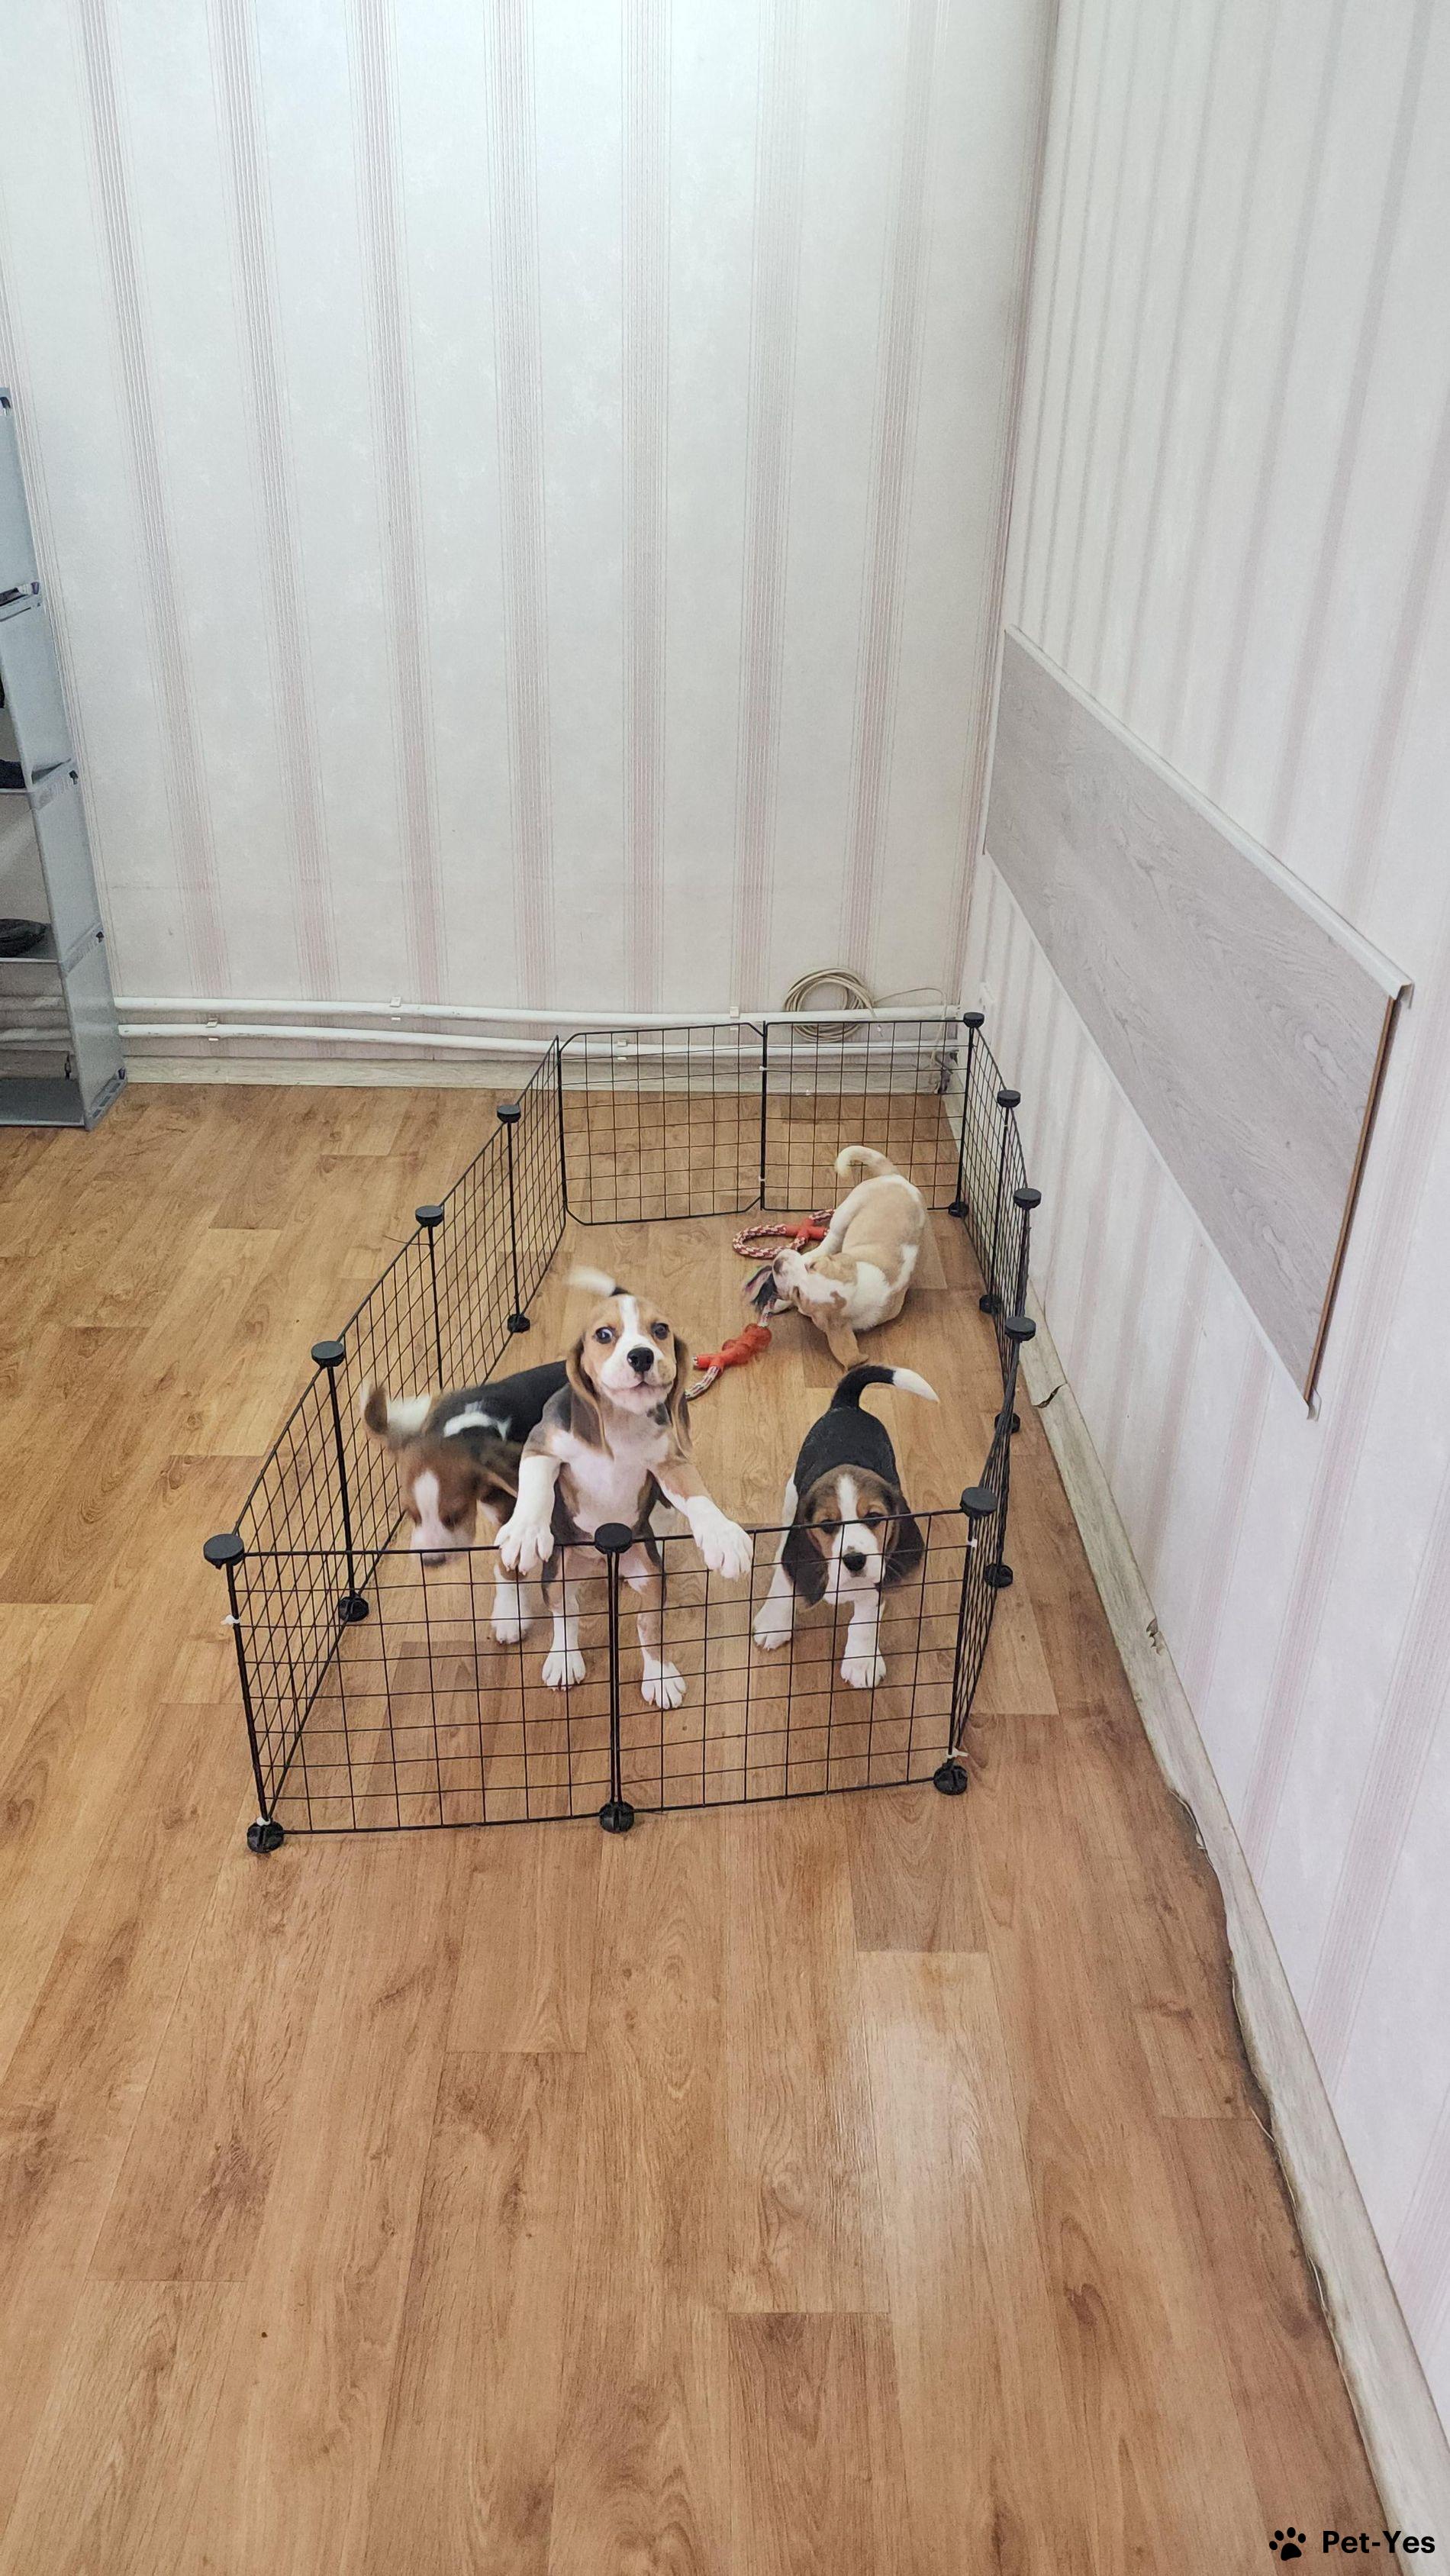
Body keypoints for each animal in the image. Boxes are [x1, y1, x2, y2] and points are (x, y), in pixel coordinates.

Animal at [360, 1358, 567, 1641]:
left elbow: (507, 1562)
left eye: (455, 1515)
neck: (467, 1427)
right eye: (412, 1514)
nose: (431, 1562)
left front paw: (511, 1615)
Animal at [496, 1270, 753, 1704]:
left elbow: (698, 1495)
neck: (621, 1421)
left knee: (648, 1627)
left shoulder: (671, 1463)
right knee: (565, 1614)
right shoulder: (542, 1446)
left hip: (648, 1573)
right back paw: (564, 1659)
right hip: (559, 1571)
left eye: (661, 1330)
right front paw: (525, 1532)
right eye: (604, 1335)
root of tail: (599, 1560)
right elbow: (537, 1489)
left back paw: (659, 1676)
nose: (642, 1357)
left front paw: (723, 1537)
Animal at [752, 1363, 935, 1688]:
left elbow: (864, 1621)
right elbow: (784, 1584)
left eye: (874, 1518)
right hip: (790, 1493)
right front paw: (774, 1622)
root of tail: (848, 1405)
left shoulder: (876, 1579)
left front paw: (862, 1661)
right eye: (827, 1524)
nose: (855, 1560)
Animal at [767, 1146, 928, 1363]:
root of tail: (896, 1176)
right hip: (847, 1209)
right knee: (832, 1238)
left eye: (799, 1293)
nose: (777, 1264)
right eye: (812, 1267)